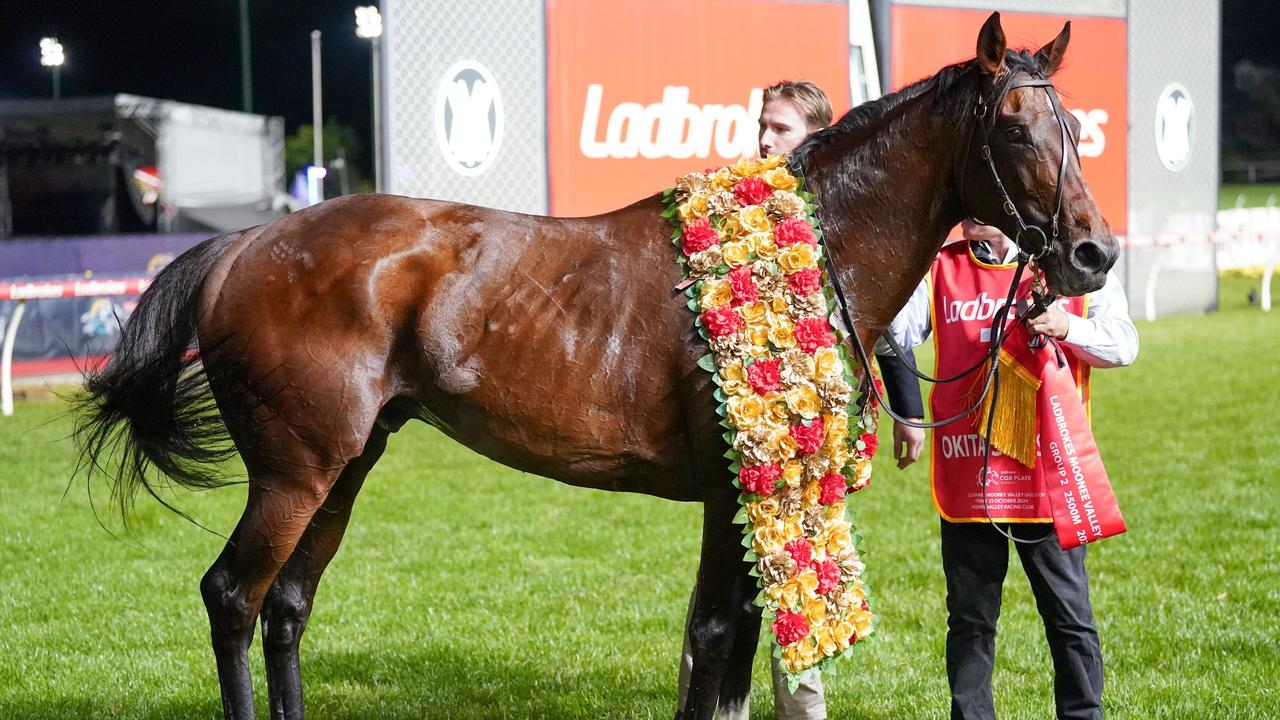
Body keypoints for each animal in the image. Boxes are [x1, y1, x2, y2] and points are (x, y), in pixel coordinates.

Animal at [77, 12, 1121, 717]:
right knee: (234, 598)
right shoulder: (731, 490)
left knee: (288, 604)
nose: (1093, 253)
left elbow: (733, 650)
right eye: (1016, 130)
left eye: (1077, 131)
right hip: (294, 472)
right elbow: (714, 642)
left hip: (346, 463)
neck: (807, 237)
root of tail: (249, 245)